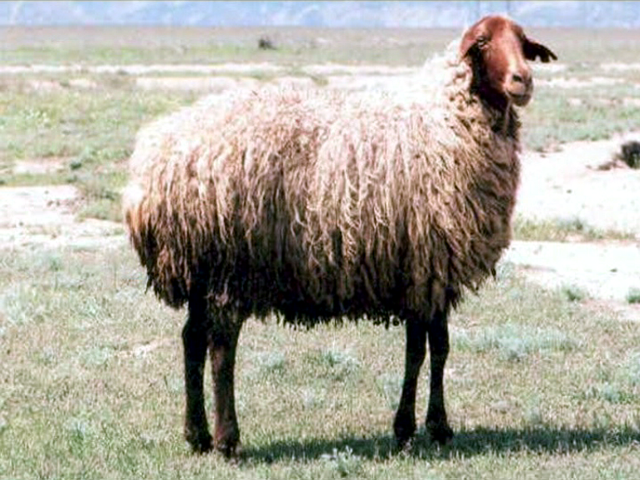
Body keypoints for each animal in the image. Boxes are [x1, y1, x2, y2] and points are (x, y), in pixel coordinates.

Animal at [123, 15, 557, 457]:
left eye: (523, 41)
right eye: (482, 42)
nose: (523, 79)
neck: (447, 122)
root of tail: (155, 165)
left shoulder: (426, 274)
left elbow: (435, 347)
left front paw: (428, 427)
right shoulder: (428, 266)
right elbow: (423, 350)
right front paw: (415, 427)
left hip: (199, 268)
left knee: (192, 339)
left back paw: (197, 435)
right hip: (230, 266)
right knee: (221, 348)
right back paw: (228, 439)